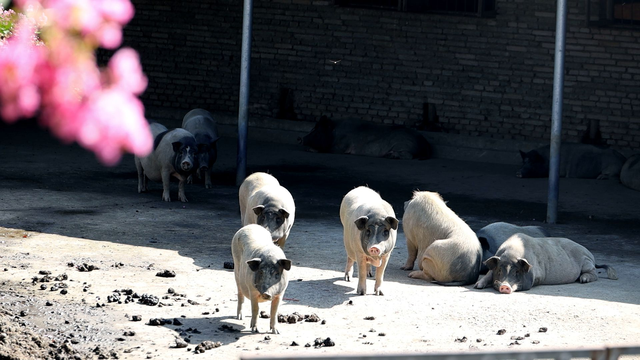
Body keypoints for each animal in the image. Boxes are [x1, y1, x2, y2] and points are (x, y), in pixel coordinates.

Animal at [472, 233, 616, 292]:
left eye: (517, 271)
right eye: (499, 270)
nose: (505, 286)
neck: (512, 253)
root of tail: (591, 255)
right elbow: (488, 274)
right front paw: (477, 286)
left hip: (586, 262)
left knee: (593, 273)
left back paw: (583, 280)